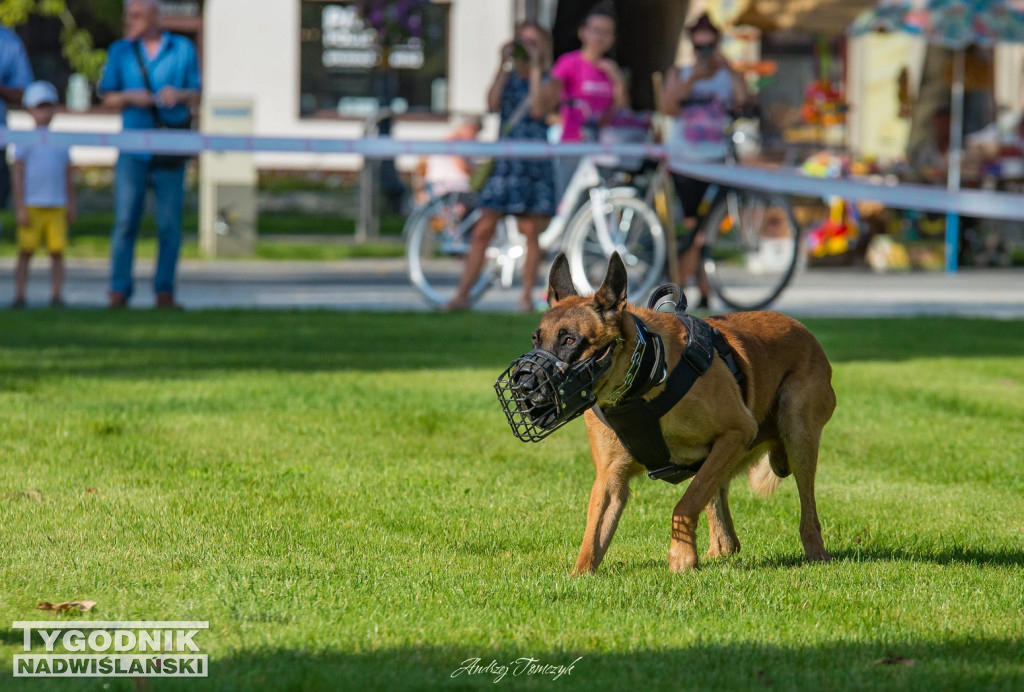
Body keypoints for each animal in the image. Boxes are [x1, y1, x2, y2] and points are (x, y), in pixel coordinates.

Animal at [520, 252, 831, 573]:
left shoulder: (737, 432)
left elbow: (684, 506)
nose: (523, 386)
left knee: (808, 512)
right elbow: (593, 536)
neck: (640, 384)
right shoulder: (609, 479)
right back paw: (719, 551)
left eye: (569, 340)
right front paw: (579, 575)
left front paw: (681, 558)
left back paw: (816, 553)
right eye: (535, 339)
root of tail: (803, 330)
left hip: (796, 431)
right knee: (725, 529)